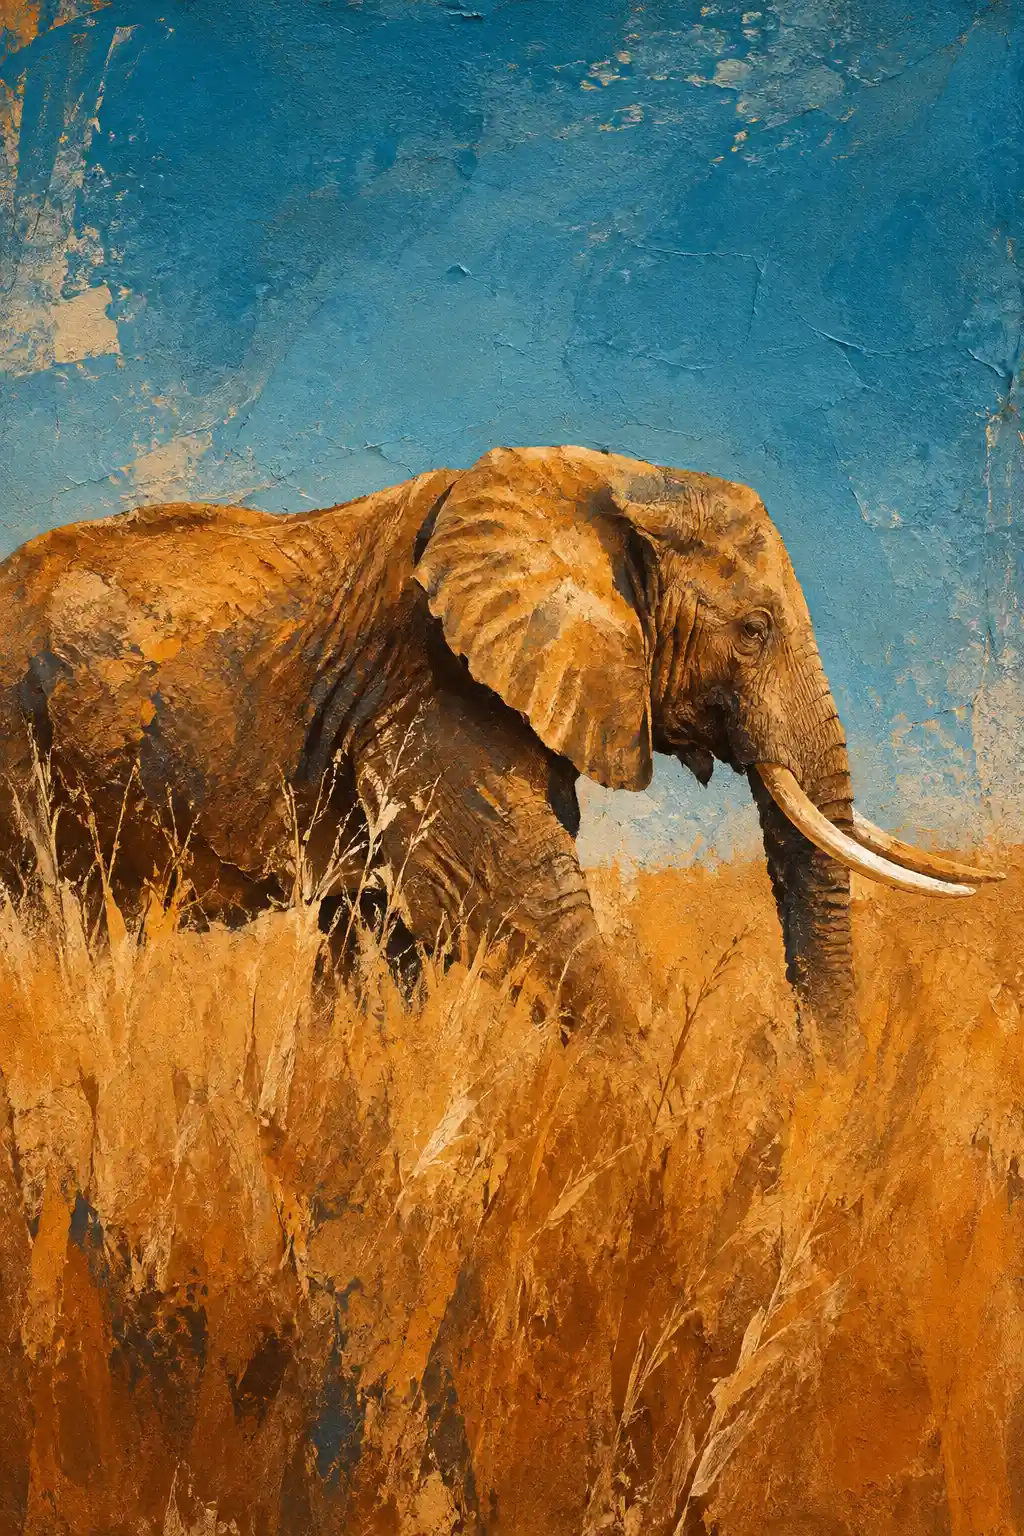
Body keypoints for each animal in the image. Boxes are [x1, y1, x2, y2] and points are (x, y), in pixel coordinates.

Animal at [0, 445, 1000, 1054]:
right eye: (753, 633)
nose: (810, 1079)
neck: (610, 482)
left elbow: (379, 927)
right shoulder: (434, 682)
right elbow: (503, 899)